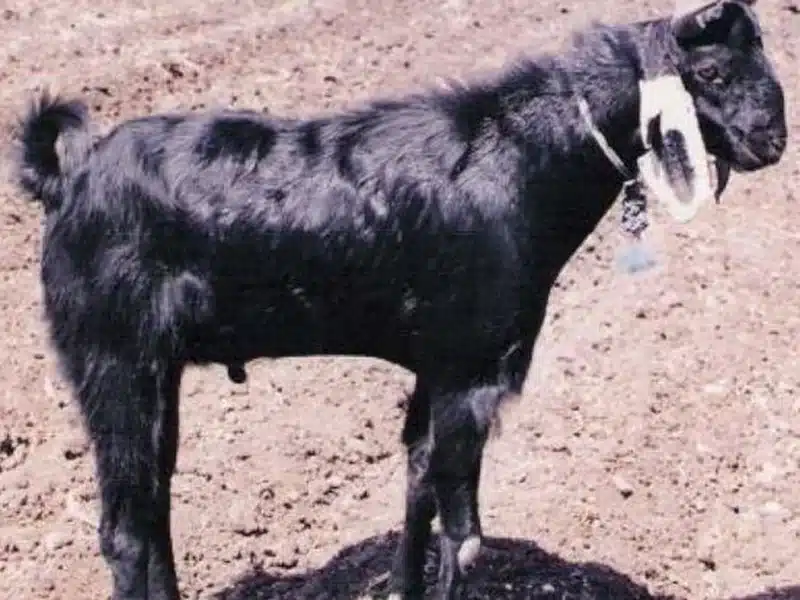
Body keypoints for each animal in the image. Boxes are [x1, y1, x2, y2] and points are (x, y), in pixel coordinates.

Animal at [11, 1, 787, 598]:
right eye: (711, 73)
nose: (772, 141)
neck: (521, 157)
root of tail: (68, 179)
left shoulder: (436, 367)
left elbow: (417, 486)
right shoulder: (473, 368)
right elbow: (465, 532)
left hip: (155, 371)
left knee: (153, 505)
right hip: (112, 363)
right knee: (123, 531)